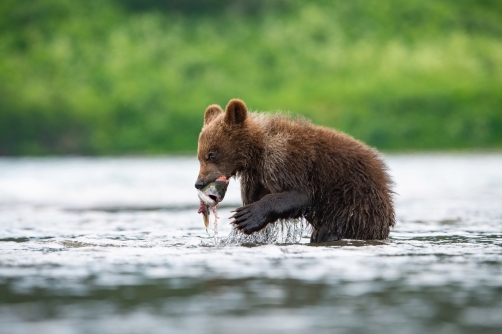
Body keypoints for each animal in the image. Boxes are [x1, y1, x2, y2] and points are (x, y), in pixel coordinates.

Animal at [196, 98, 396, 241]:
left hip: (353, 203)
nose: (199, 183)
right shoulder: (257, 176)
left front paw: (246, 216)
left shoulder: (285, 160)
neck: (257, 153)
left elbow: (301, 194)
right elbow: (255, 196)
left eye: (211, 155)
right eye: (199, 156)